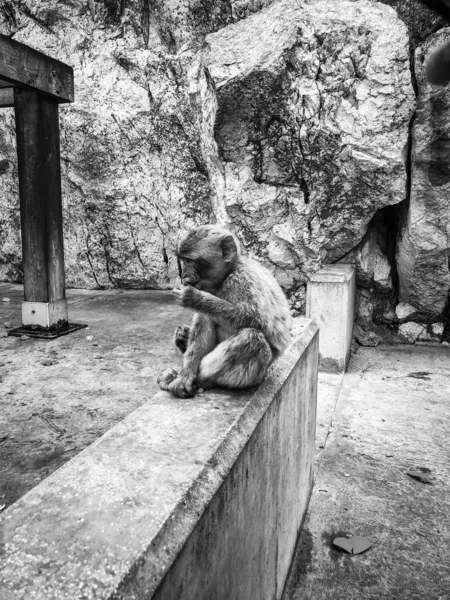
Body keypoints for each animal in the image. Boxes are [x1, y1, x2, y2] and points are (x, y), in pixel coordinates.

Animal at [157, 225, 292, 398]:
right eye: (183, 260)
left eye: (189, 260)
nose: (184, 275)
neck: (226, 275)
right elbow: (204, 318)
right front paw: (184, 376)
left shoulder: (242, 280)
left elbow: (256, 319)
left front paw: (195, 298)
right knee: (206, 317)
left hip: (256, 376)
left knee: (252, 338)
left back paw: (199, 380)